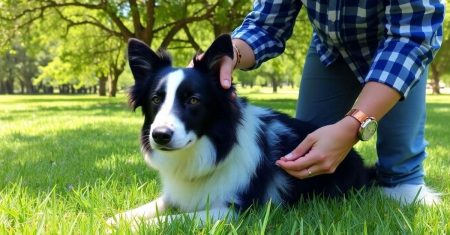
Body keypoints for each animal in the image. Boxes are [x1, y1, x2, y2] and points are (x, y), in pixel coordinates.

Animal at [107, 34, 374, 228]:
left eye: (193, 100)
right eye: (155, 99)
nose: (160, 135)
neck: (210, 147)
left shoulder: (235, 210)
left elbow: (172, 218)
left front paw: (128, 227)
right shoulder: (176, 195)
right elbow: (149, 207)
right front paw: (114, 220)